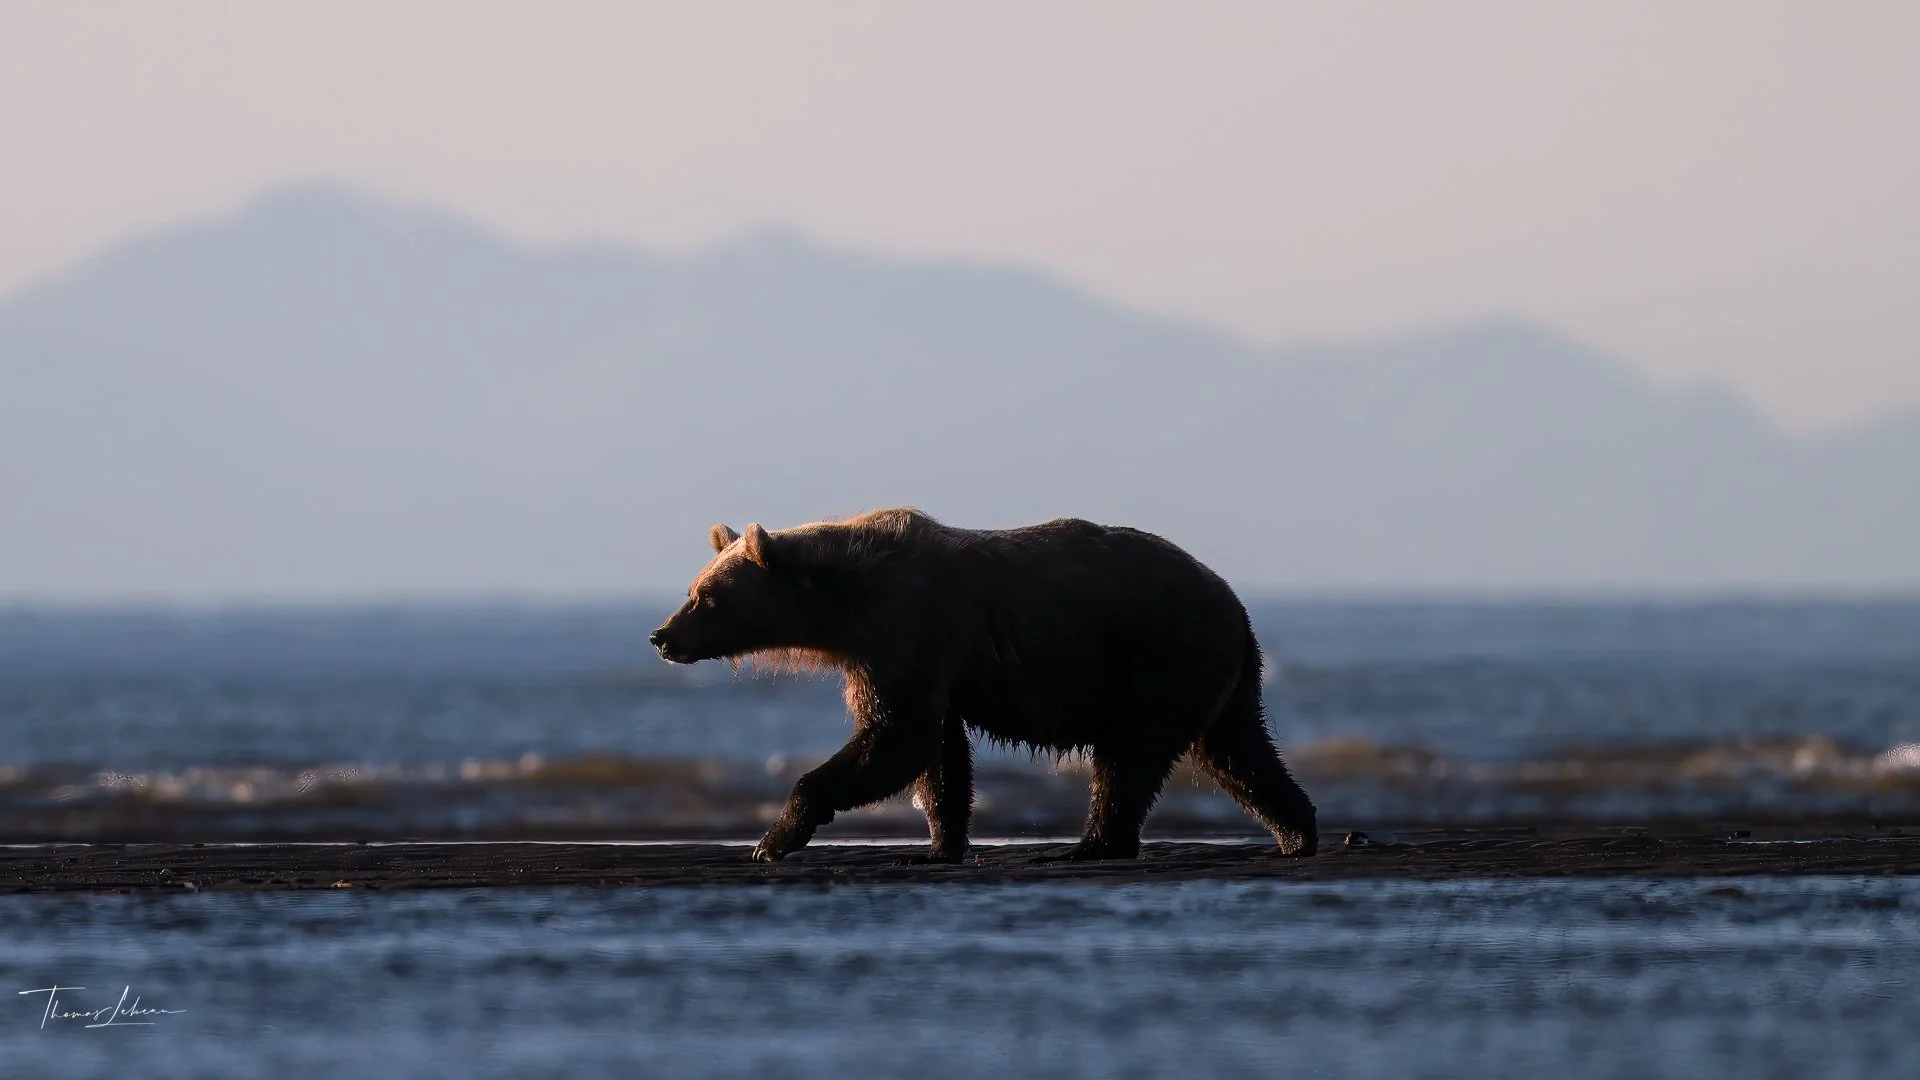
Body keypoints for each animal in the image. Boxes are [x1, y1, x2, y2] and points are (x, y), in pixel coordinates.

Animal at [648, 508, 1318, 863]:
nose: (661, 635)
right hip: (1219, 675)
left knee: (1130, 757)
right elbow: (937, 755)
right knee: (1237, 751)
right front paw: (938, 843)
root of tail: (1235, 604)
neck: (844, 604)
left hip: (1155, 658)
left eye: (707, 596)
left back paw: (1089, 843)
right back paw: (1297, 830)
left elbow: (893, 739)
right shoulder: (908, 659)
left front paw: (775, 837)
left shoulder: (909, 632)